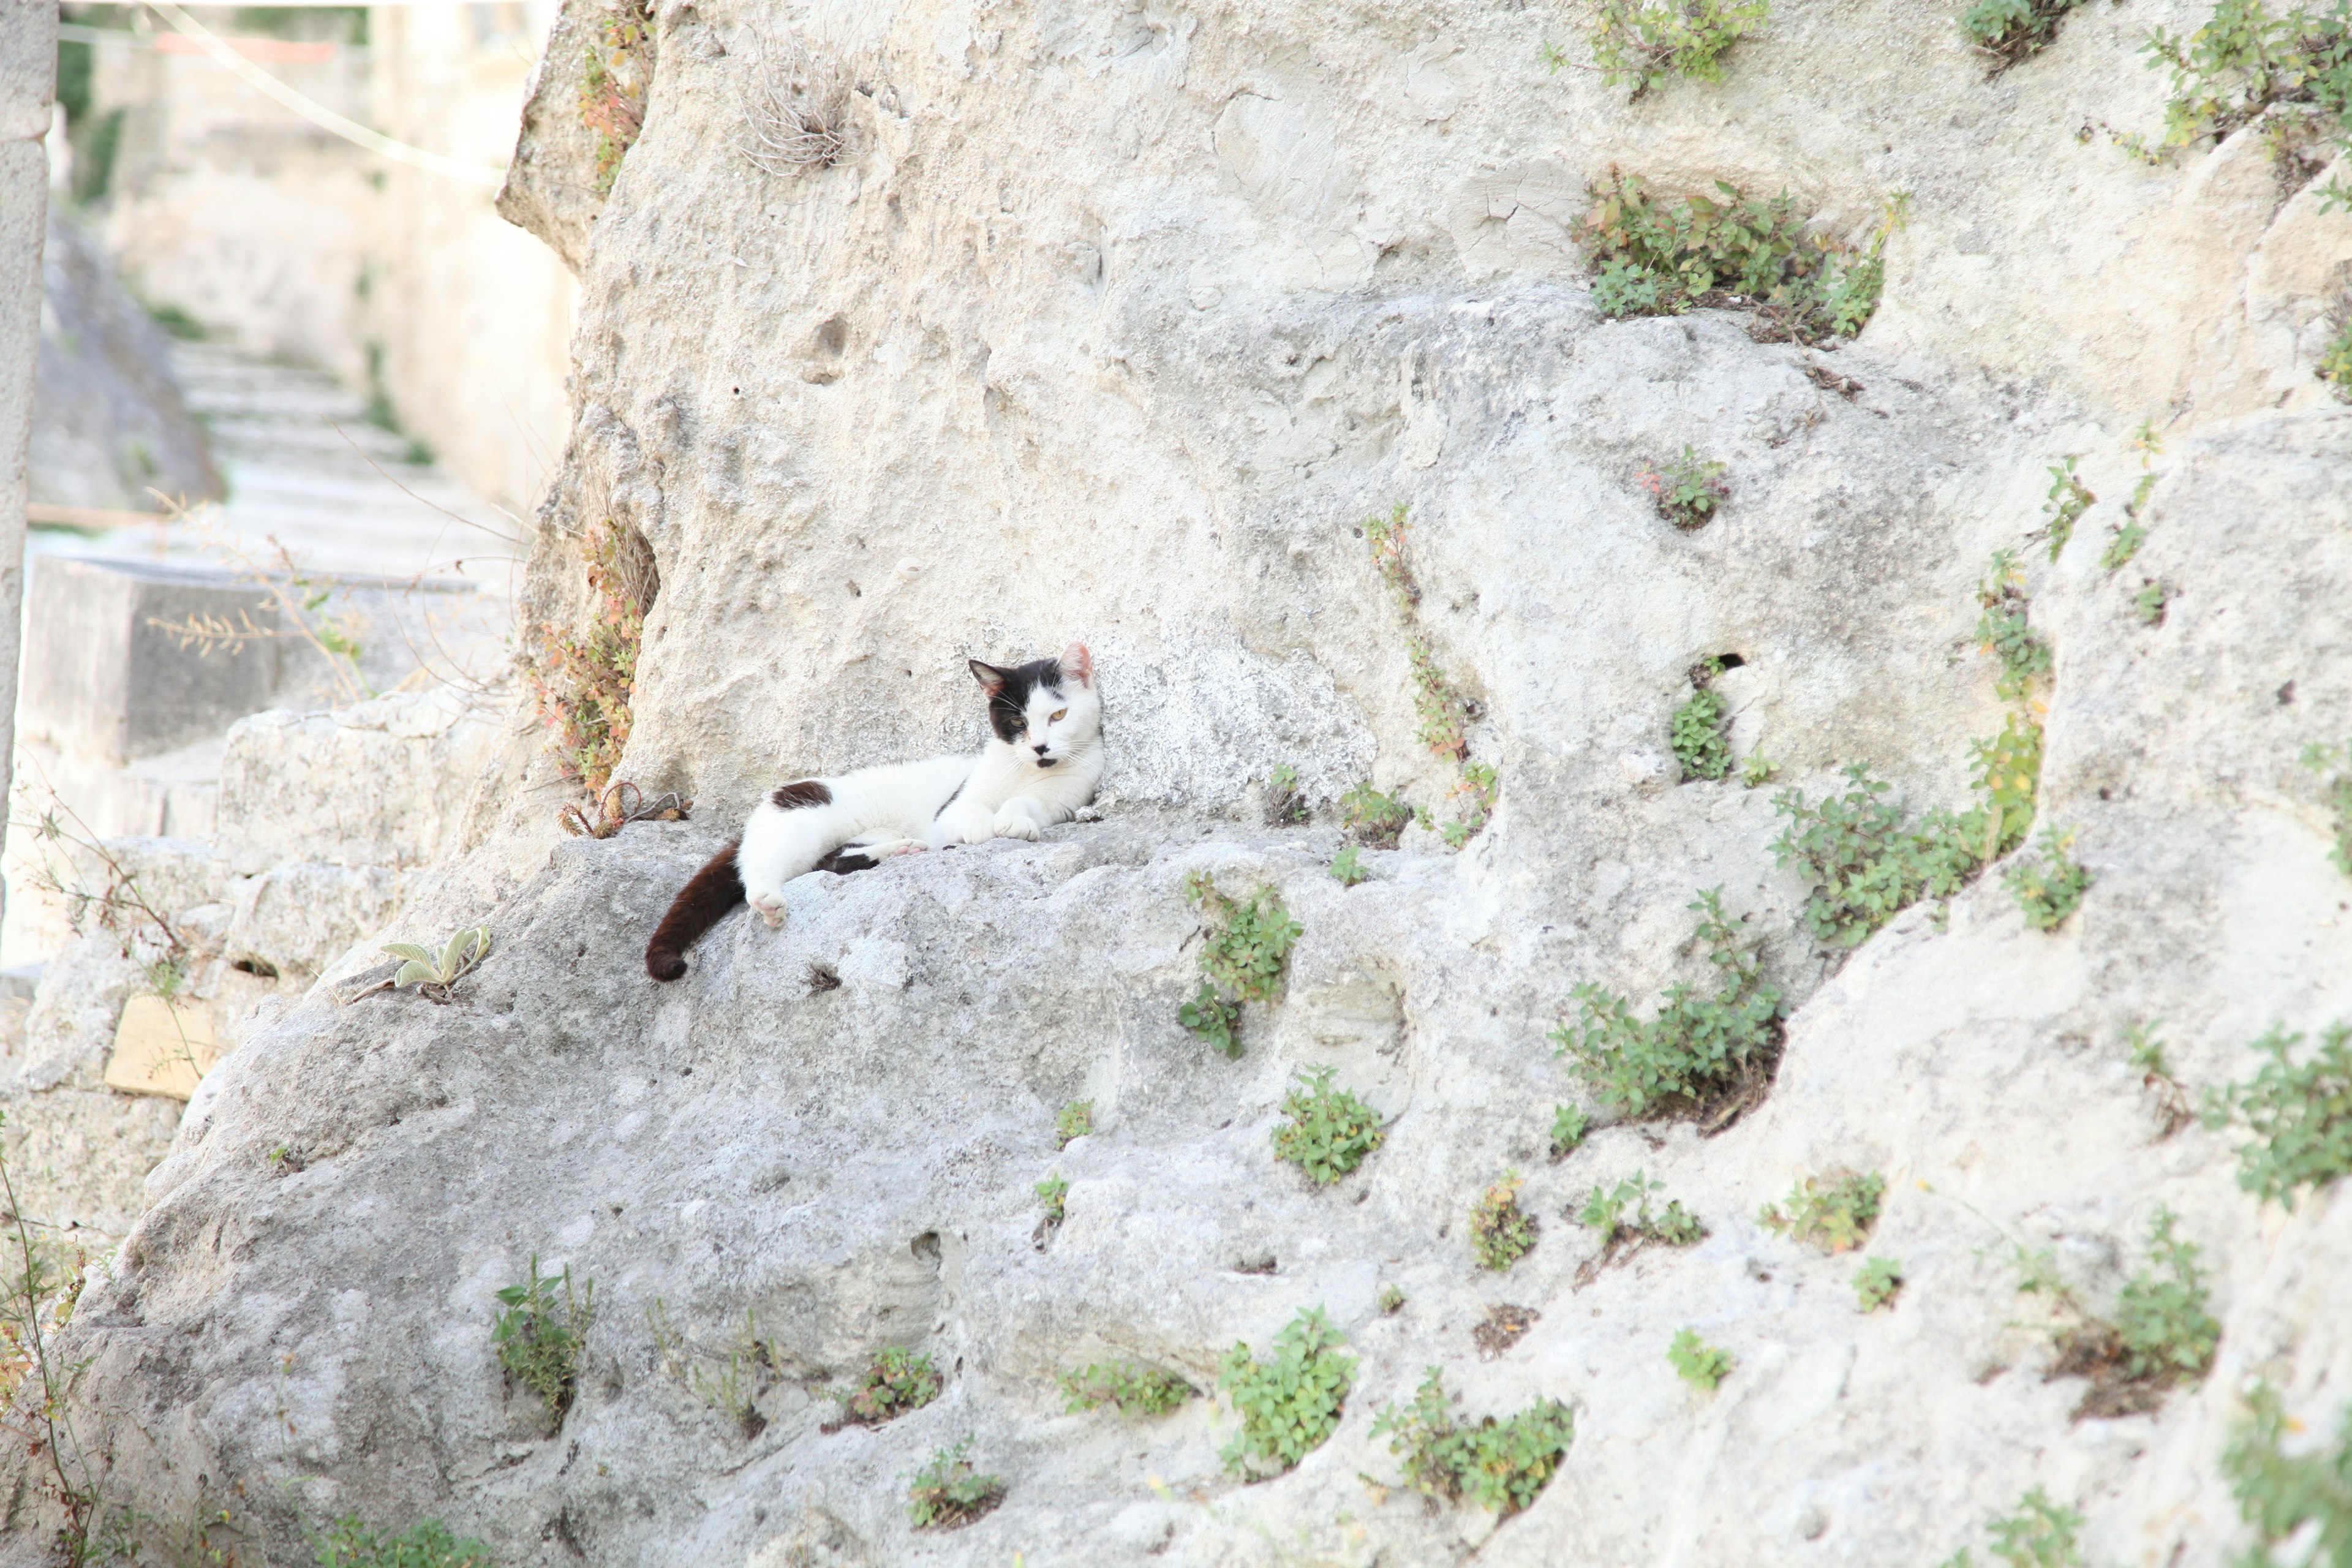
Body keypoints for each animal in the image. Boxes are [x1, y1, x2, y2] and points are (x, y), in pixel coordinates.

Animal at [639, 639, 1105, 982]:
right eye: (1017, 724)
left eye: (1059, 715)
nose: (1040, 748)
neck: (1021, 772)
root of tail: (771, 803)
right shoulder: (953, 804)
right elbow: (965, 811)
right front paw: (980, 827)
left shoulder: (1066, 796)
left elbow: (1030, 806)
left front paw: (1013, 819)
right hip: (798, 825)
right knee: (762, 868)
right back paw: (770, 901)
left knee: (834, 861)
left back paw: (902, 850)